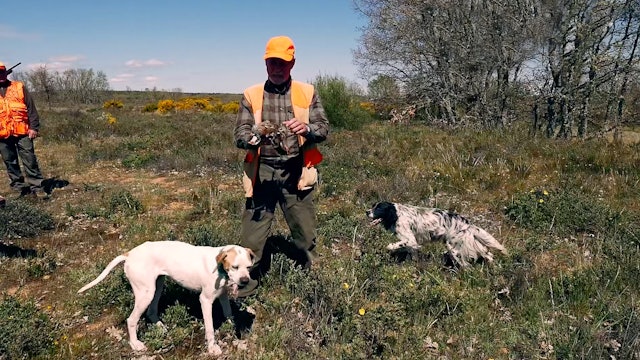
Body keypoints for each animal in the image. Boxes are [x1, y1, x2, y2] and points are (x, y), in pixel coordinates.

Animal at [76, 240, 254, 356]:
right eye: (235, 267)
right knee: (131, 320)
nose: (245, 281)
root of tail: (130, 254)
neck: (219, 268)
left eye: (249, 267)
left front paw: (233, 331)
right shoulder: (205, 300)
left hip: (157, 287)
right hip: (146, 293)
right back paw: (136, 344)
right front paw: (212, 348)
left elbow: (229, 315)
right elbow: (210, 328)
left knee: (151, 312)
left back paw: (160, 327)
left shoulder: (222, 296)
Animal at [368, 202, 508, 268]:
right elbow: (411, 253)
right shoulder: (412, 243)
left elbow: (395, 245)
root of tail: (467, 223)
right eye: (373, 206)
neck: (397, 214)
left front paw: (391, 247)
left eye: (379, 208)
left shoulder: (410, 239)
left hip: (454, 248)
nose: (366, 211)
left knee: (466, 265)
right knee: (488, 255)